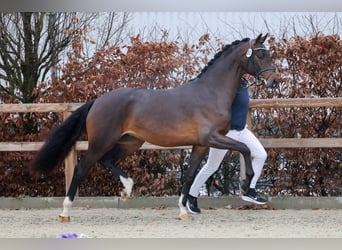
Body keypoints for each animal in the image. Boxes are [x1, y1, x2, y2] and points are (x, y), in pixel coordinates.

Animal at [30, 32, 280, 221]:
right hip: (101, 142)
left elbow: (190, 175)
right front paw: (247, 185)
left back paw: (127, 189)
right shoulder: (213, 138)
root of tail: (97, 101)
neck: (210, 92)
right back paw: (65, 212)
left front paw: (183, 211)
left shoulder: (200, 145)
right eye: (260, 54)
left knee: (107, 161)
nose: (274, 81)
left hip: (130, 142)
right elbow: (245, 149)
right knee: (82, 169)